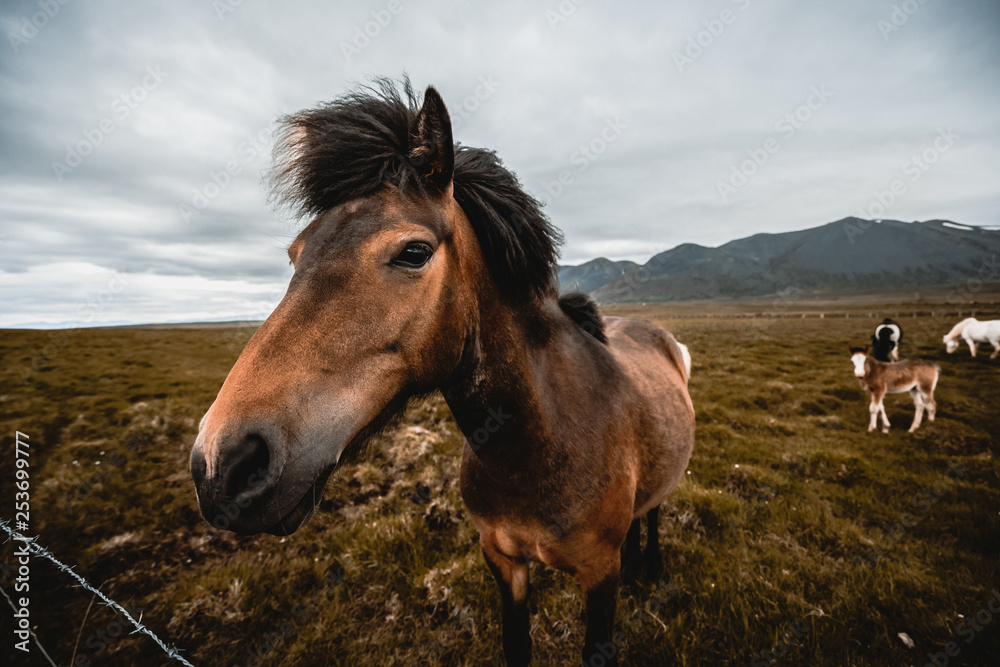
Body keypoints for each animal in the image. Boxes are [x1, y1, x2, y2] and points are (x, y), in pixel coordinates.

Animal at [189, 77, 696, 664]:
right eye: (295, 255)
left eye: (413, 252)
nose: (221, 465)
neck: (541, 442)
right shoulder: (501, 558)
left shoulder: (599, 575)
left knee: (653, 512)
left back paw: (650, 565)